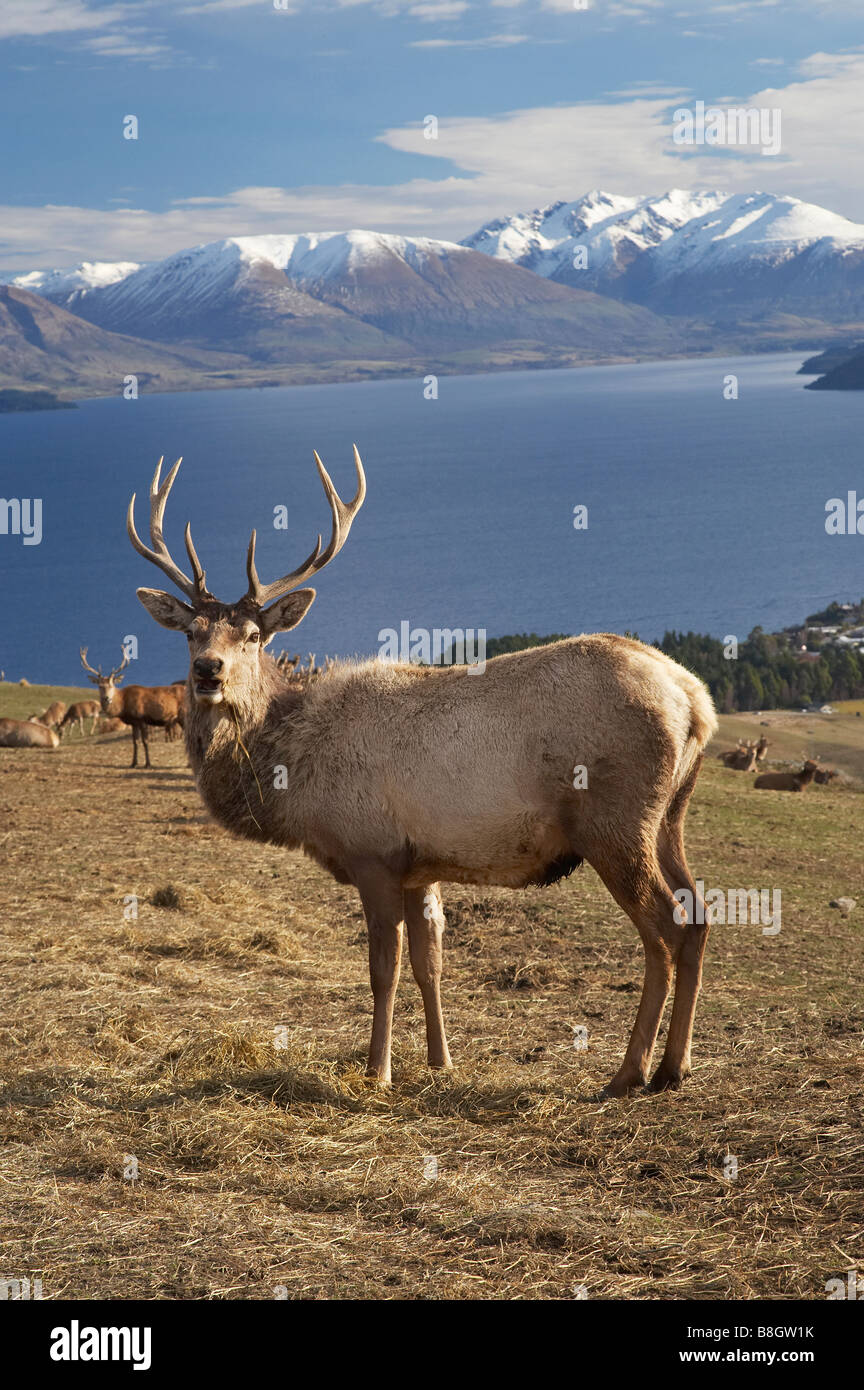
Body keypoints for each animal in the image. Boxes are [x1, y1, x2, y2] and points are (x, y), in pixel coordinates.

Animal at [128, 447, 722, 1095]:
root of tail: (696, 702)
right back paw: (675, 1066)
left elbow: (383, 969)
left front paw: (377, 1070)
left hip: (615, 821)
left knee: (665, 927)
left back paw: (630, 1071)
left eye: (256, 635)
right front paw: (441, 1061)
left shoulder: (374, 853)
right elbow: (429, 963)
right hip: (670, 817)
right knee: (699, 915)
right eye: (191, 633)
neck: (294, 778)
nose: (208, 670)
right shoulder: (421, 865)